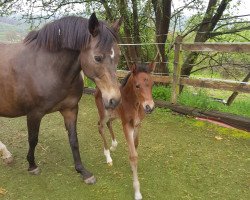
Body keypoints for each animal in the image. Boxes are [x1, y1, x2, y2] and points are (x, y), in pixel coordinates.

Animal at [94, 61, 155, 199]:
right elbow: (133, 155)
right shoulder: (127, 125)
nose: (149, 107)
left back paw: (114, 145)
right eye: (137, 86)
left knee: (109, 124)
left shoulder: (137, 125)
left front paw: (132, 169)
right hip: (104, 113)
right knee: (100, 126)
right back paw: (108, 156)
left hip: (114, 114)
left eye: (152, 83)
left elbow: (135, 146)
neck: (134, 103)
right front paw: (137, 192)